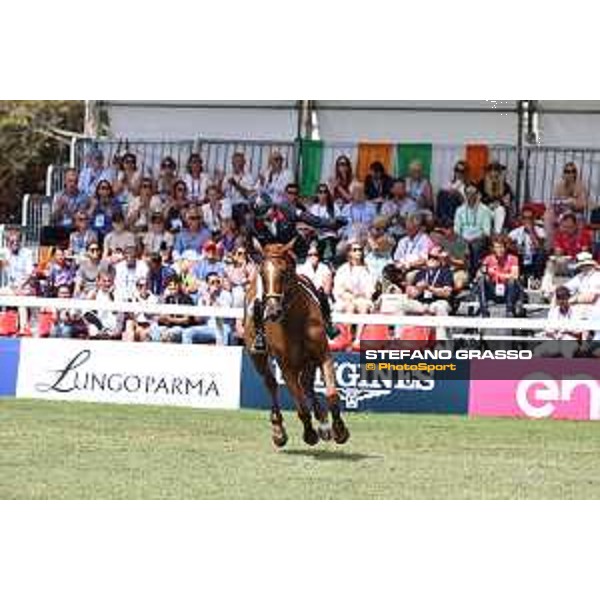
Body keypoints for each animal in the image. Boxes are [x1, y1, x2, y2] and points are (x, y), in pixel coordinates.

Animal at [243, 241, 350, 448]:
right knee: (271, 383)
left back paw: (323, 424)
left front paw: (339, 431)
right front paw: (309, 434)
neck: (295, 319)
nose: (272, 311)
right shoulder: (287, 367)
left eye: (284, 272)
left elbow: (332, 395)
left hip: (308, 361)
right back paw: (278, 430)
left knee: (306, 384)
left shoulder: (323, 355)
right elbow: (301, 406)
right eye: (262, 273)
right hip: (258, 357)